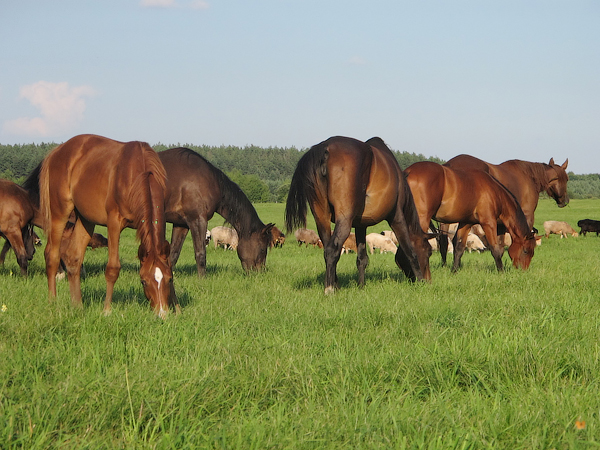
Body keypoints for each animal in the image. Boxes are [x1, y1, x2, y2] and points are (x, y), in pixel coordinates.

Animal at [35, 134, 175, 317]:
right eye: (143, 281)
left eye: (168, 279)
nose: (161, 314)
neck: (137, 174)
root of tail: (56, 152)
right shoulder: (114, 223)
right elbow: (113, 268)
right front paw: (107, 310)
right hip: (59, 214)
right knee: (52, 256)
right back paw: (52, 301)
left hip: (86, 219)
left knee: (73, 258)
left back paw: (77, 305)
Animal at [158, 147, 274, 276]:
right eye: (263, 249)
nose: (260, 272)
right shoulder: (198, 220)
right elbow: (200, 253)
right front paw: (202, 278)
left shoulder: (181, 224)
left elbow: (174, 254)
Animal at [285, 136, 431, 294]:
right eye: (429, 252)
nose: (428, 280)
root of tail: (325, 148)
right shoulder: (397, 217)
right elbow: (410, 251)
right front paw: (420, 282)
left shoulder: (361, 225)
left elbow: (362, 259)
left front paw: (361, 286)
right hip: (344, 220)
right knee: (332, 250)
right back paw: (329, 289)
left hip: (321, 219)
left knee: (326, 249)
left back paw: (335, 284)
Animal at [404, 161, 536, 272]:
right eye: (525, 250)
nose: (523, 270)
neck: (495, 193)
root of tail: (409, 171)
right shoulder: (488, 223)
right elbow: (496, 249)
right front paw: (501, 271)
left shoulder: (466, 223)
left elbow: (459, 248)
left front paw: (454, 271)